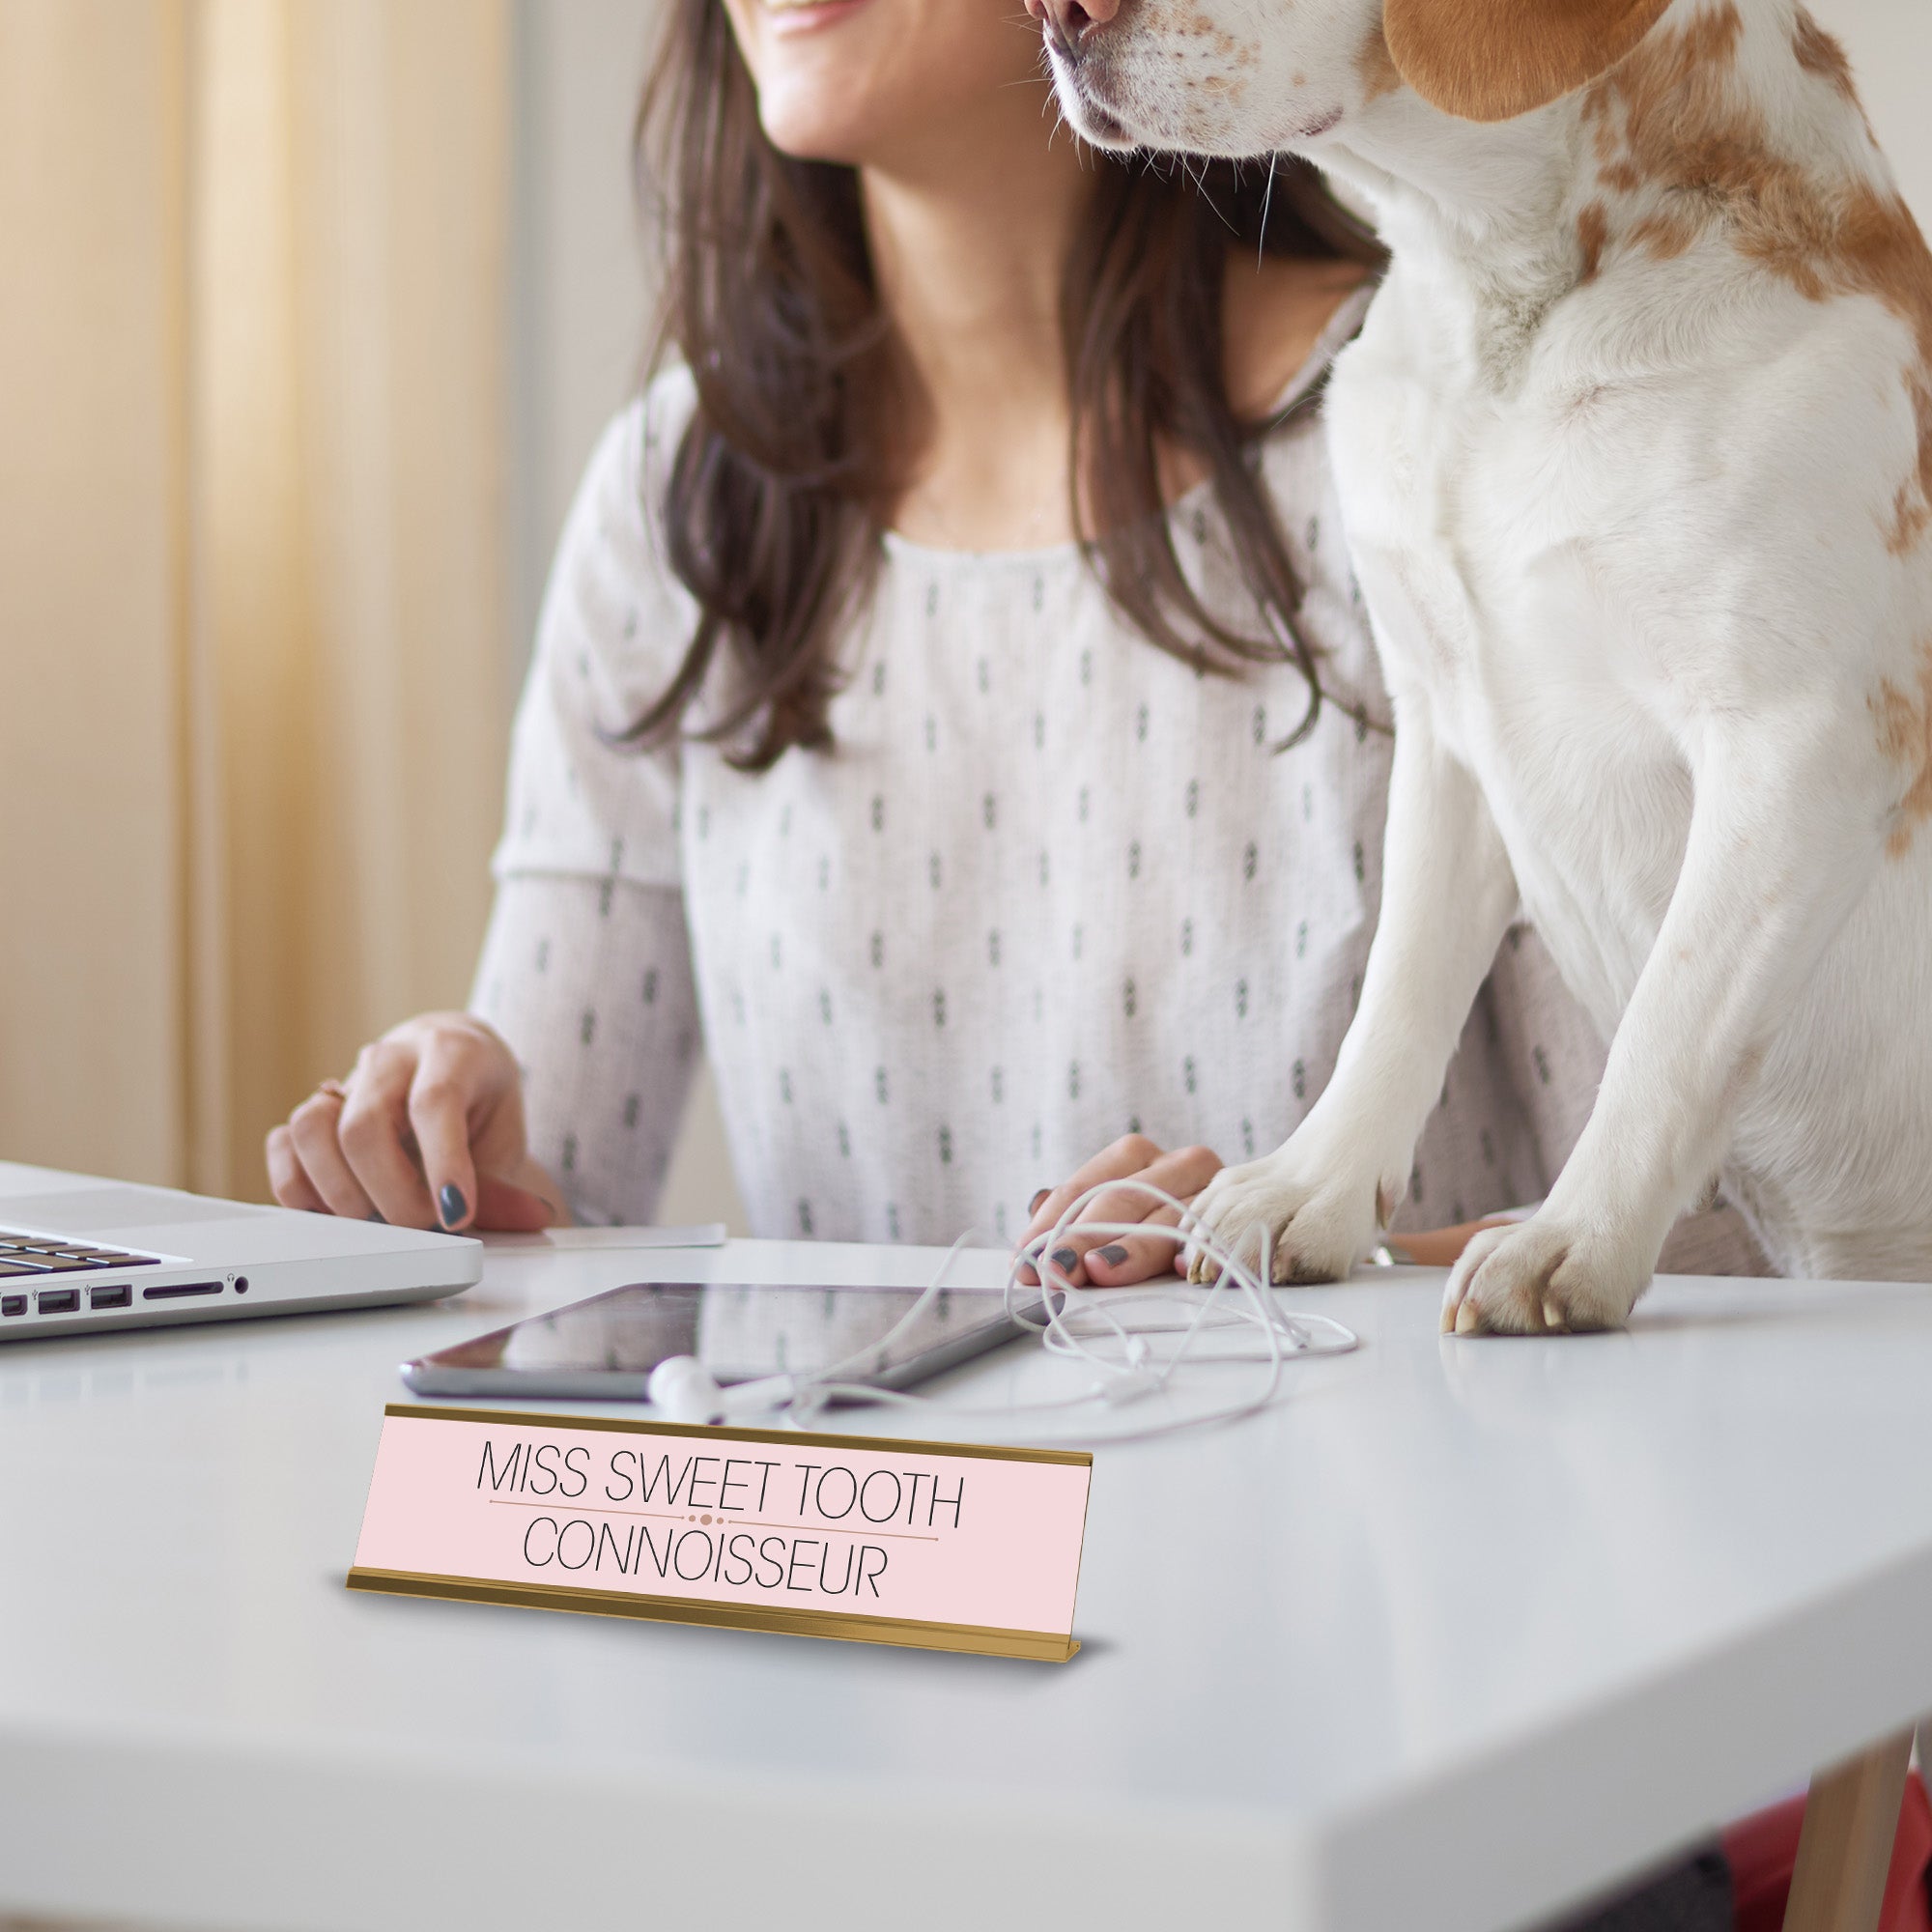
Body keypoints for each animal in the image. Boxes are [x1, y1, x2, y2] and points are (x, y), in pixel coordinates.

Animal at [1036, 0, 1932, 1329]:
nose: (1052, 16)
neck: (1500, 316)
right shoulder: (1445, 729)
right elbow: (1396, 993)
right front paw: (1308, 1188)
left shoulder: (1798, 744)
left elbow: (1667, 1027)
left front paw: (1571, 1238)